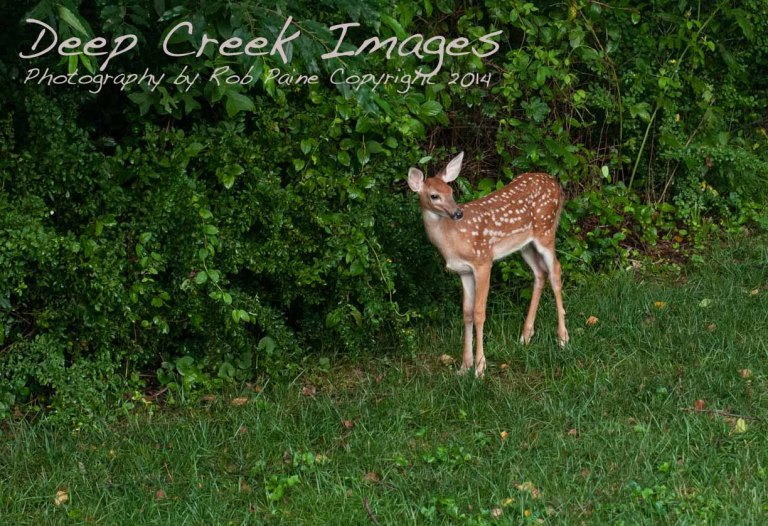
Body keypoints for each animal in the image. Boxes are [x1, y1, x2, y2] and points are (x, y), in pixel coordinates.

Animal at [408, 152, 569, 377]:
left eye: (451, 191)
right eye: (434, 196)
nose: (457, 213)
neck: (452, 239)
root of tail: (556, 183)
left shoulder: (483, 261)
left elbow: (479, 313)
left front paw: (480, 368)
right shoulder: (464, 272)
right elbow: (466, 313)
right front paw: (464, 367)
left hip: (545, 230)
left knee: (555, 271)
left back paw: (562, 338)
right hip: (525, 245)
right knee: (540, 273)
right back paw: (525, 336)